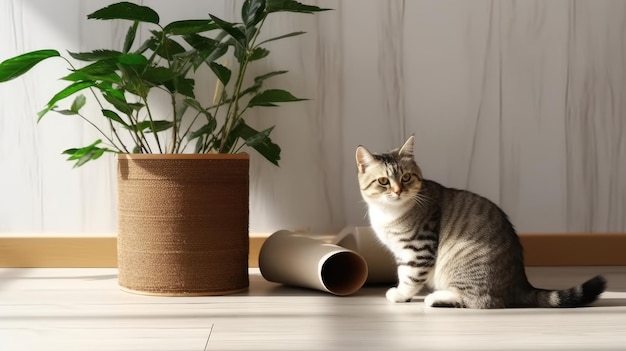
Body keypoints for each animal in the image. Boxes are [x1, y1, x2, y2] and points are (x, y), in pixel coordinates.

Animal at [356, 136, 604, 310]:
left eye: (406, 177)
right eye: (383, 181)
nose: (398, 191)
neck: (388, 213)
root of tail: (520, 283)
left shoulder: (419, 248)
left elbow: (409, 276)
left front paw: (400, 294)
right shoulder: (401, 251)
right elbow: (402, 272)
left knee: (483, 302)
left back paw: (436, 298)